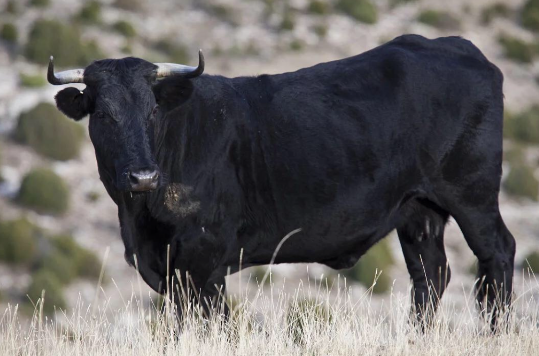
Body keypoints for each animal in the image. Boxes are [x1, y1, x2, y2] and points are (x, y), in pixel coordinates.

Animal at [49, 35, 516, 328]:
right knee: (430, 276)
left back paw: (497, 333)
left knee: (498, 253)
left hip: (472, 193)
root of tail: (456, 46)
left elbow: (213, 323)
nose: (143, 175)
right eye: (102, 114)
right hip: (418, 209)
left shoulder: (204, 259)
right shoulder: (169, 267)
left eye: (152, 111)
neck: (139, 217)